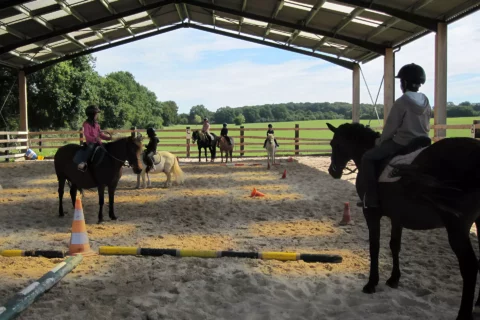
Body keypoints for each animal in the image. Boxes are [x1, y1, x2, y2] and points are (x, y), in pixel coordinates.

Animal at [328, 122, 480, 320]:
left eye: (334, 144)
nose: (332, 171)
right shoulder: (397, 217)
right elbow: (395, 245)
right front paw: (394, 279)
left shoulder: (371, 214)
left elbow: (374, 246)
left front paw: (371, 283)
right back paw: (478, 305)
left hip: (457, 228)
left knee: (470, 267)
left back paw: (463, 314)